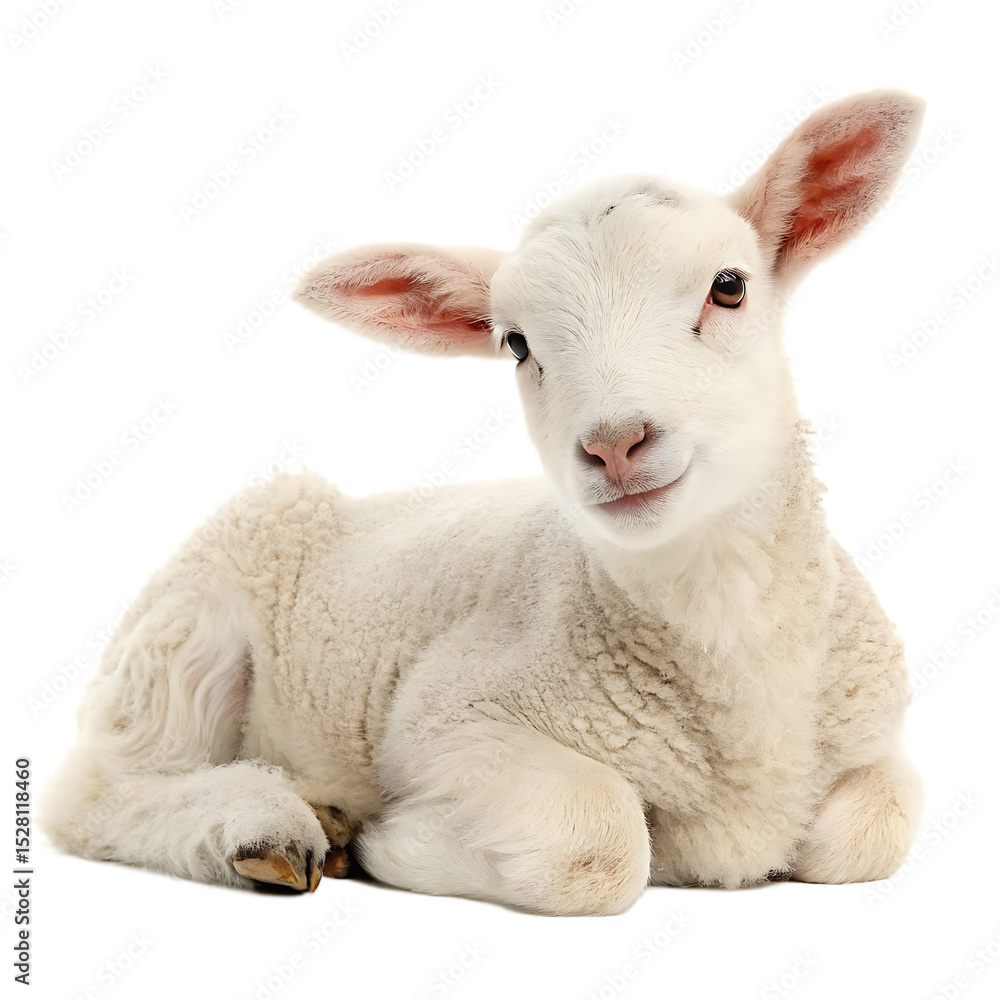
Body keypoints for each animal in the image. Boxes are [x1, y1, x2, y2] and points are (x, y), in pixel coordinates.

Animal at [42, 89, 926, 916]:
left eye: (730, 287)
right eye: (518, 343)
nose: (615, 444)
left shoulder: (877, 741)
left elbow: (874, 831)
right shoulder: (444, 719)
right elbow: (602, 841)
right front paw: (396, 844)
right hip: (187, 633)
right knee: (92, 796)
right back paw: (269, 827)